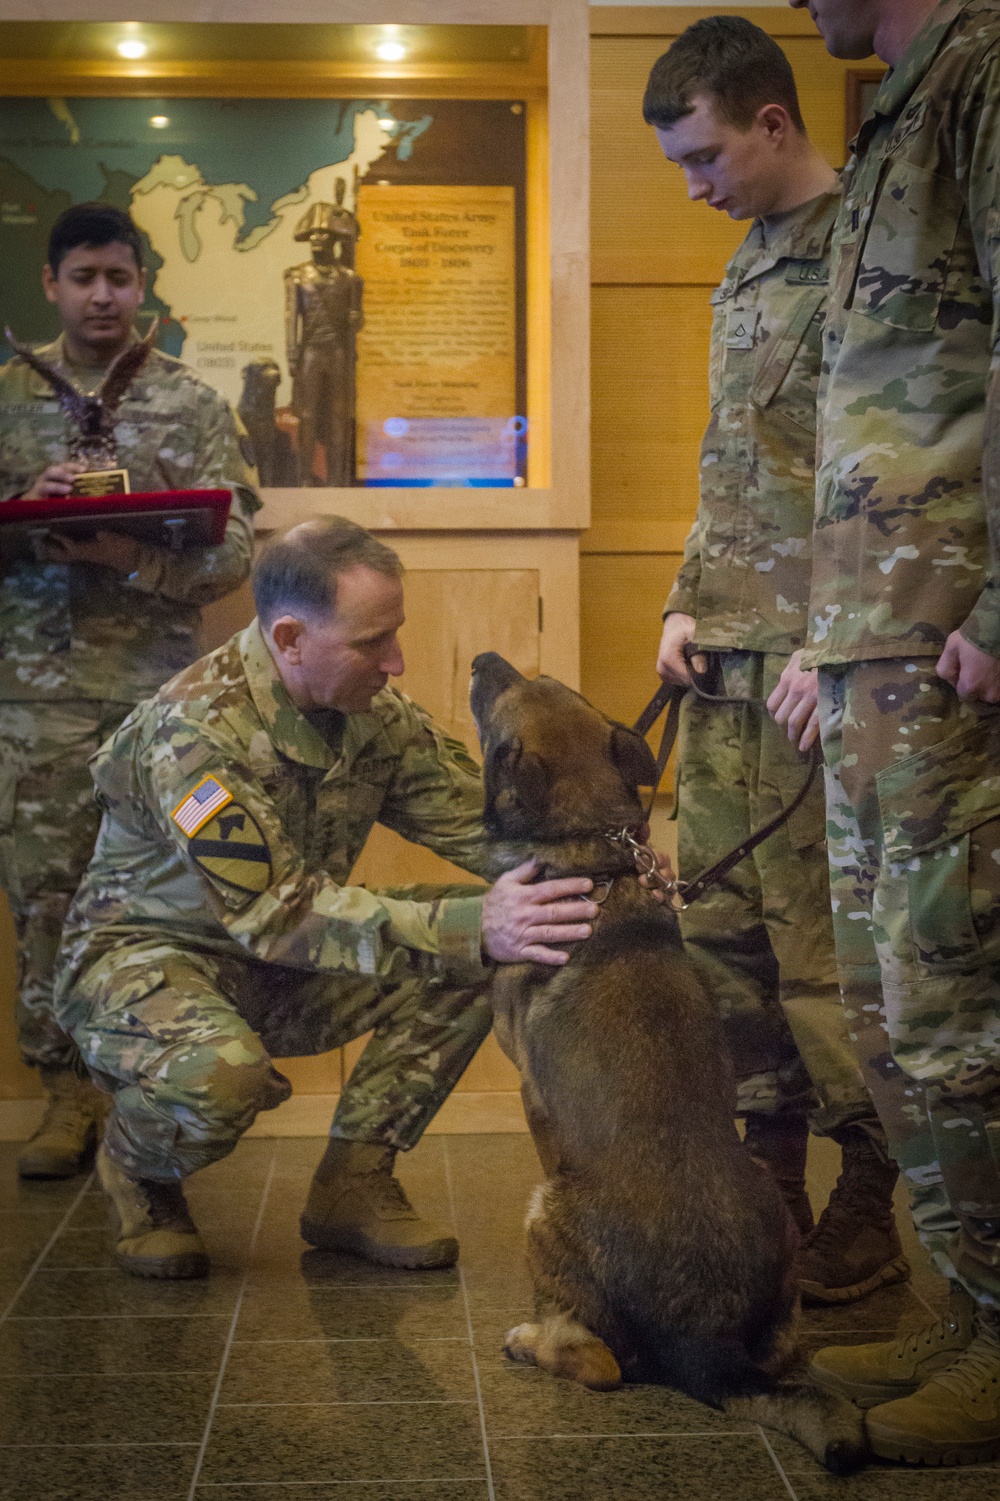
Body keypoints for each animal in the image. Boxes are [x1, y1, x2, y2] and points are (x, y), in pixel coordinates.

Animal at [468, 657, 864, 1476]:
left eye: (498, 700)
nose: (483, 661)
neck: (596, 859)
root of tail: (707, 1340)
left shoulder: (532, 1099)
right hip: (778, 1253)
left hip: (543, 1208)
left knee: (599, 1364)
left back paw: (530, 1340)